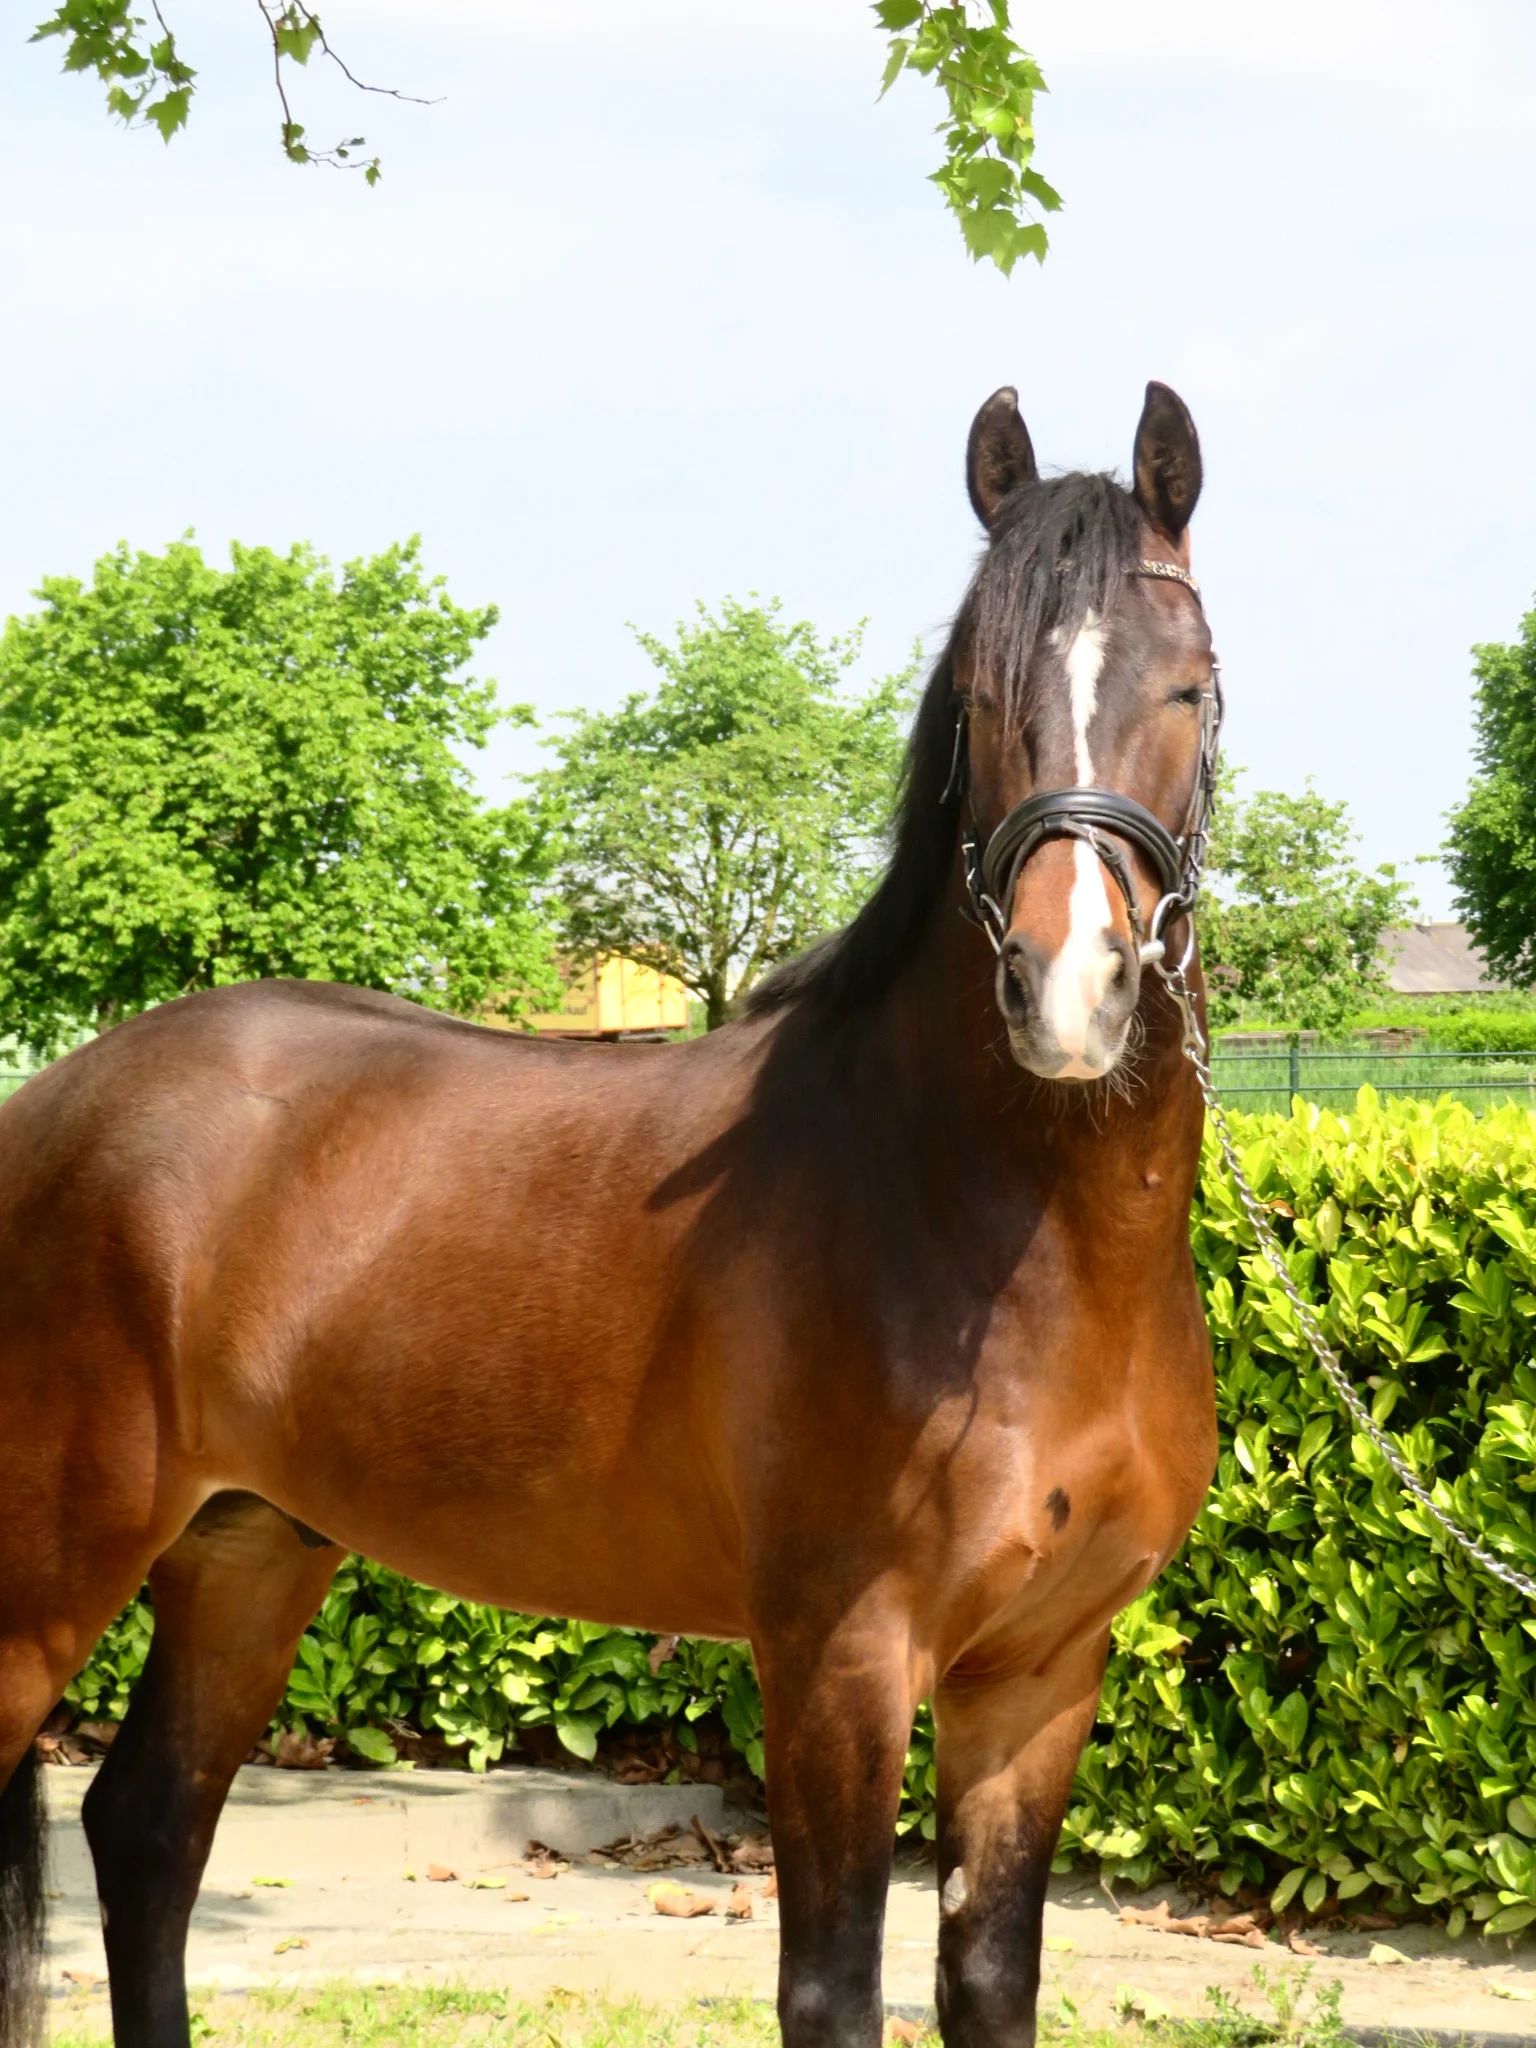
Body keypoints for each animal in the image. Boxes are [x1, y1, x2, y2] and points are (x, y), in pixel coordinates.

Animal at [0, 379, 1221, 2048]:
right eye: (979, 698)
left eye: (1189, 688)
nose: (1069, 988)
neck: (1006, 1239)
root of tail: (49, 1106)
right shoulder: (838, 1658)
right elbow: (832, 1990)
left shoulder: (1041, 1673)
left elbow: (989, 1983)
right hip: (51, 1568)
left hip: (247, 1553)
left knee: (146, 1830)